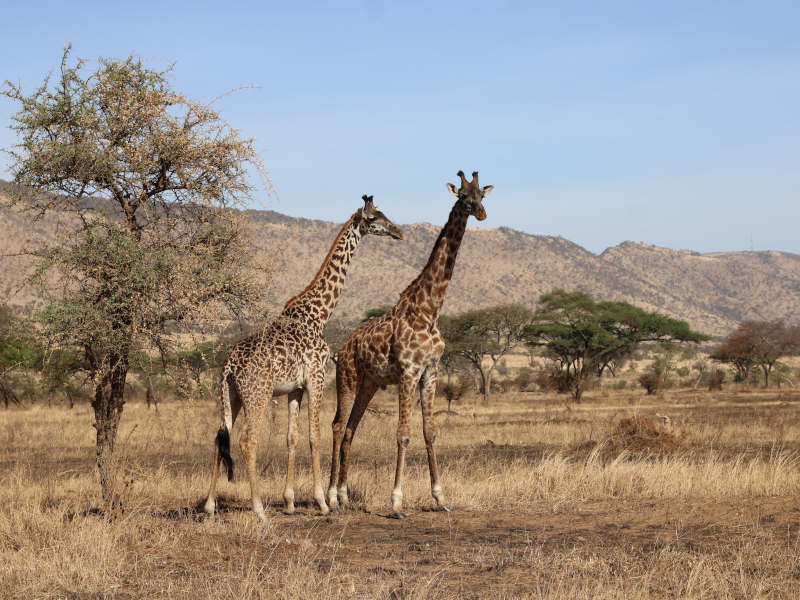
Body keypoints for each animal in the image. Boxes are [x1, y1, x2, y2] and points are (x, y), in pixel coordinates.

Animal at [203, 197, 404, 520]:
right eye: (373, 218)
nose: (398, 232)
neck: (319, 314)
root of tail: (229, 366)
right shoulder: (317, 378)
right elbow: (314, 436)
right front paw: (323, 502)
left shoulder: (294, 388)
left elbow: (292, 437)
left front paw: (290, 501)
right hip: (257, 395)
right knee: (248, 440)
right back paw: (259, 509)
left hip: (230, 395)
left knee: (221, 436)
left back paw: (210, 505)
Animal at [326, 171, 490, 516]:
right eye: (463, 197)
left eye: (482, 195)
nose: (482, 214)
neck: (429, 310)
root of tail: (343, 347)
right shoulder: (408, 372)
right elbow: (403, 434)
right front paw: (397, 501)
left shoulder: (431, 372)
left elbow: (431, 432)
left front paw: (440, 497)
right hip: (346, 377)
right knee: (336, 425)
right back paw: (332, 497)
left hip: (370, 384)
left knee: (350, 429)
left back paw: (344, 495)